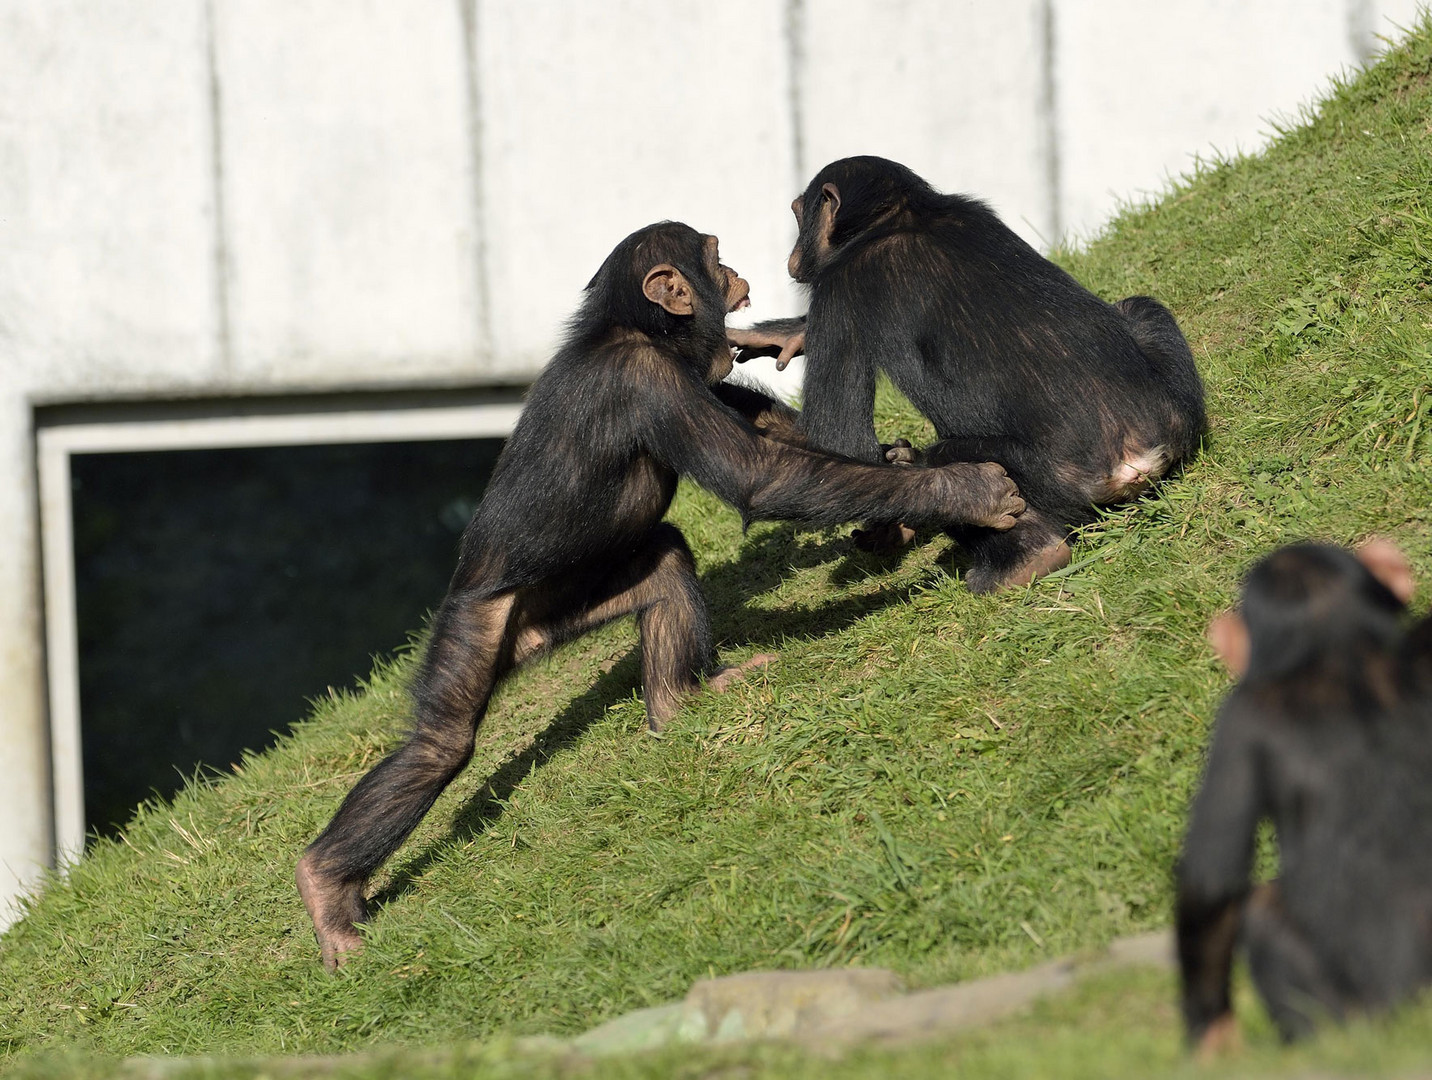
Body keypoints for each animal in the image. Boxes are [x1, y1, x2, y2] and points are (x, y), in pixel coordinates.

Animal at [296, 219, 1025, 968]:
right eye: (713, 255)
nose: (735, 271)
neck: (640, 330)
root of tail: (515, 626)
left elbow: (764, 426)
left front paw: (895, 473)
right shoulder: (651, 383)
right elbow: (760, 473)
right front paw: (963, 488)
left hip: (572, 602)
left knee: (668, 563)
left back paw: (682, 703)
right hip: (475, 620)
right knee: (440, 744)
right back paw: (327, 887)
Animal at [727, 154, 1208, 590]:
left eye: (797, 212)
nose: (793, 252)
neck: (899, 216)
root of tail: (1138, 455)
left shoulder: (838, 287)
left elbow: (839, 437)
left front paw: (891, 525)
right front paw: (788, 333)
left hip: (1061, 481)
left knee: (954, 463)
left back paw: (1024, 560)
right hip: (1179, 413)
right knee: (1139, 307)